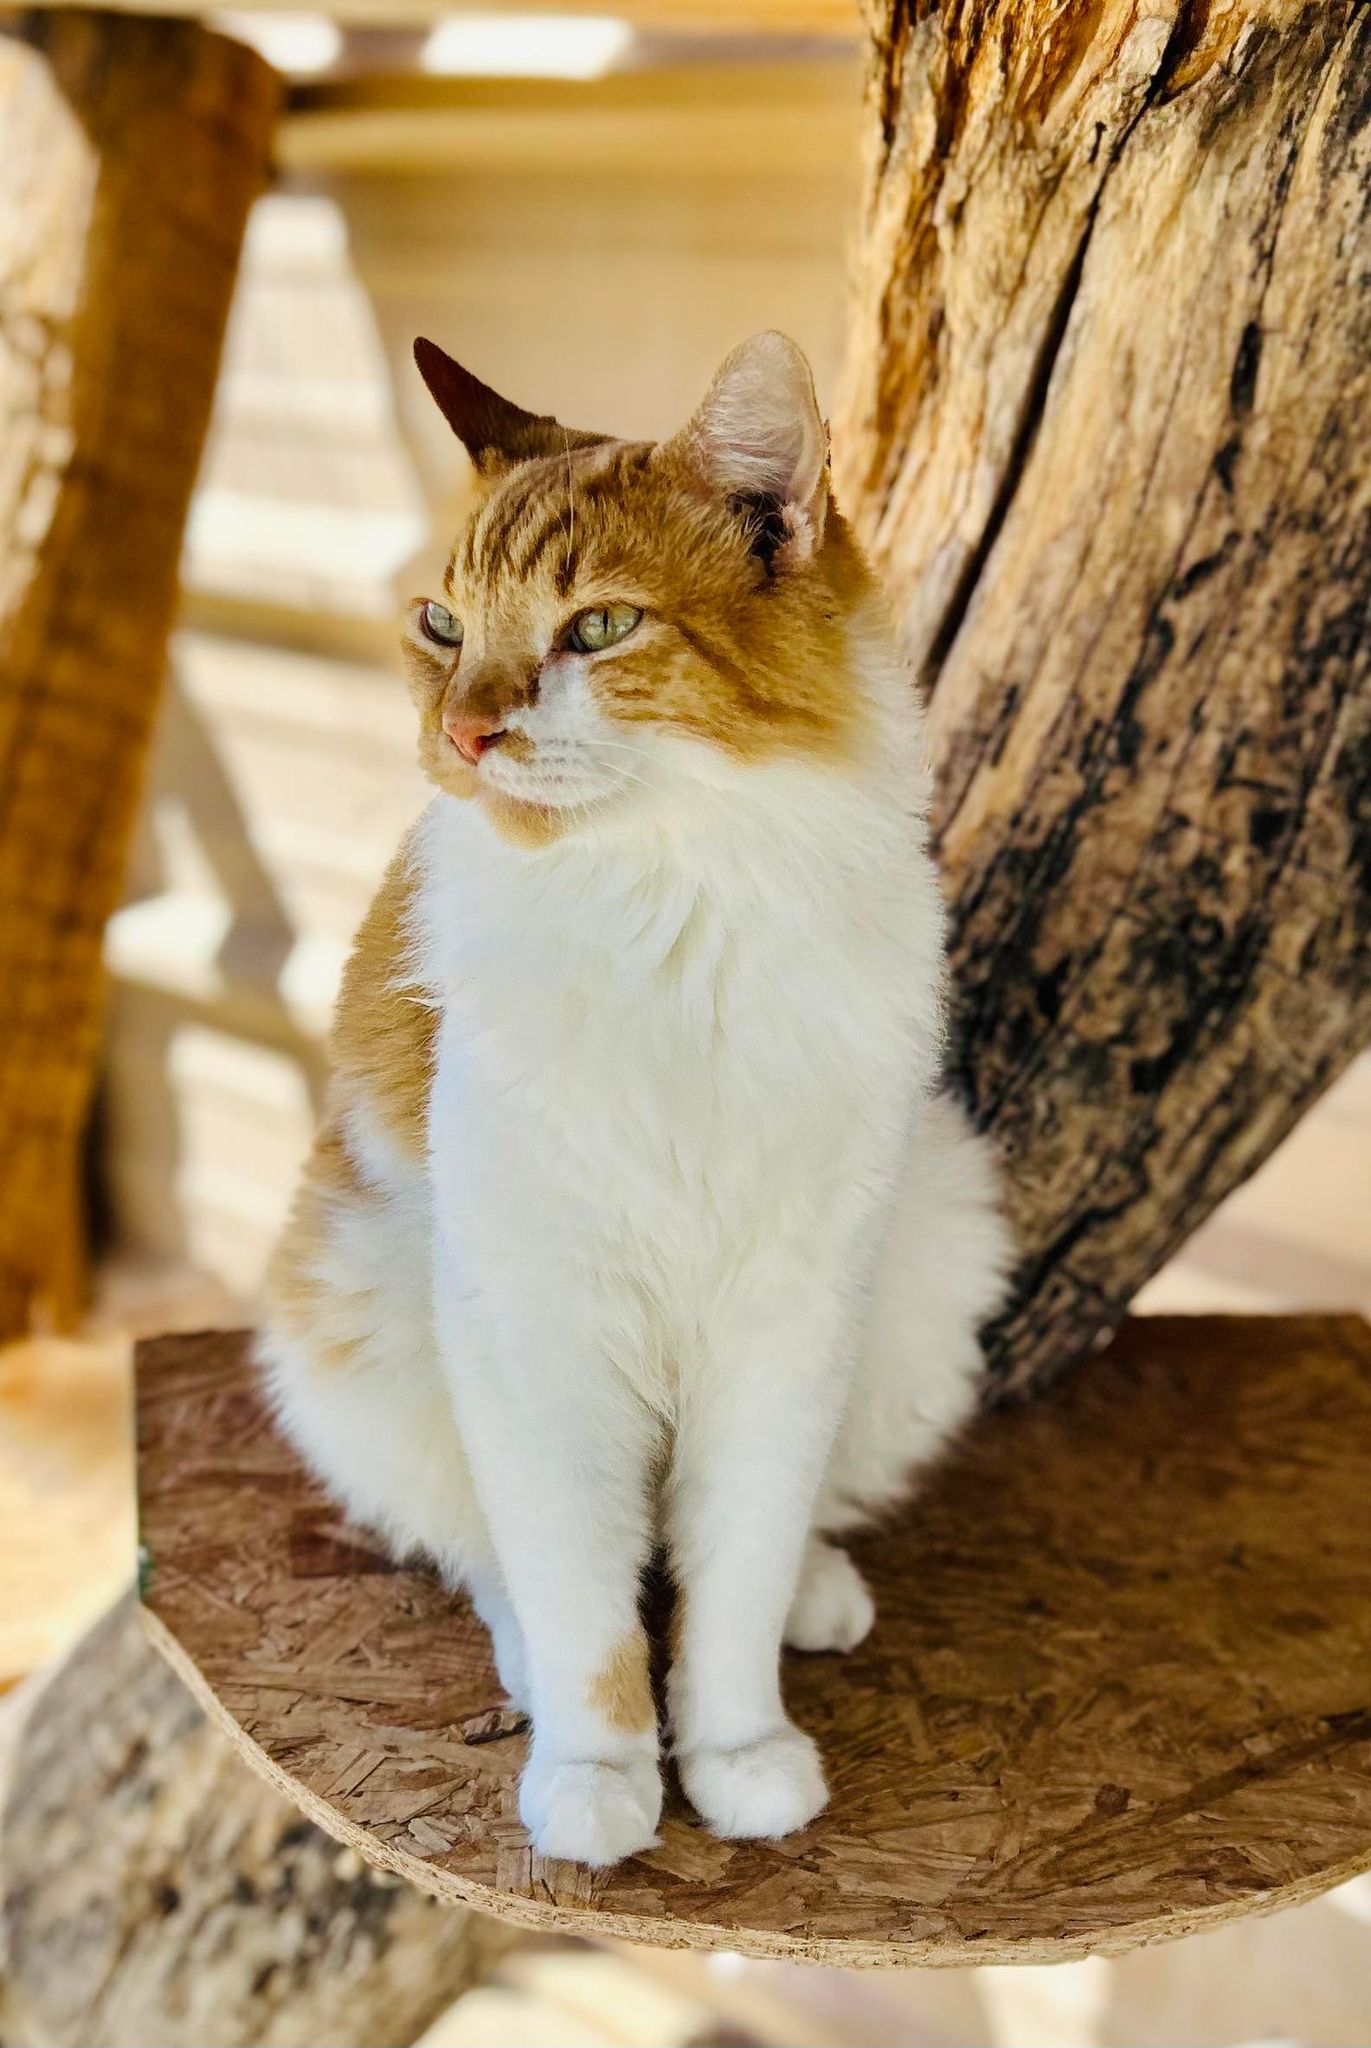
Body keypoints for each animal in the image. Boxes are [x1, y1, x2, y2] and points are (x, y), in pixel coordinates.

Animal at [259, 335, 1004, 1875]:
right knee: (490, 1549)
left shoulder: (789, 1319)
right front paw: (599, 1778)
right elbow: (583, 1594)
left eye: (597, 629)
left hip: (933, 1249)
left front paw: (736, 1750)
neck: (673, 898)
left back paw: (816, 1592)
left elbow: (733, 1573)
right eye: (441, 623)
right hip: (356, 1312)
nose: (464, 732)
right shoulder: (538, 1325)